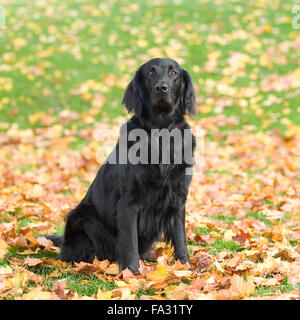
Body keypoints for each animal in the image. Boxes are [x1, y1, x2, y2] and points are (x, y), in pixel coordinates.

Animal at [47, 58, 196, 272]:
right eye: (150, 74)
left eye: (173, 73)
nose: (162, 87)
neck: (160, 133)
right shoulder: (128, 203)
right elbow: (130, 241)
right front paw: (132, 273)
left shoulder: (177, 199)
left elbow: (180, 239)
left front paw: (186, 269)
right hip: (83, 219)